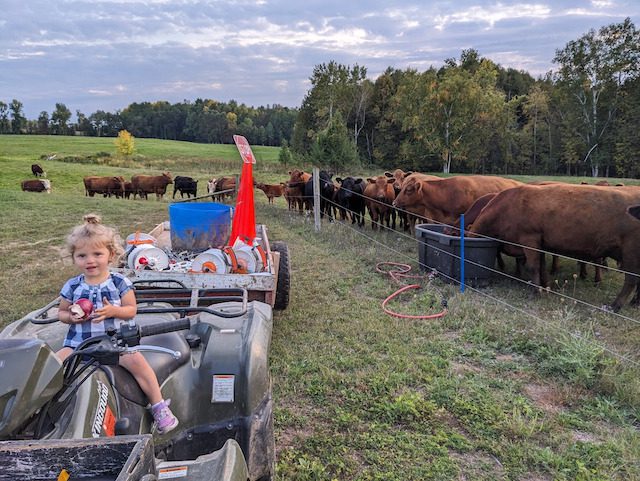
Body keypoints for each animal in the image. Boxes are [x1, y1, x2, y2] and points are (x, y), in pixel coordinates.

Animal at [468, 184, 640, 312]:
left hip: (631, 251)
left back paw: (614, 306)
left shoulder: (529, 239)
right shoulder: (541, 244)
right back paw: (635, 302)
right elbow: (542, 266)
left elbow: (533, 266)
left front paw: (536, 292)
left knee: (631, 280)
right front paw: (546, 286)